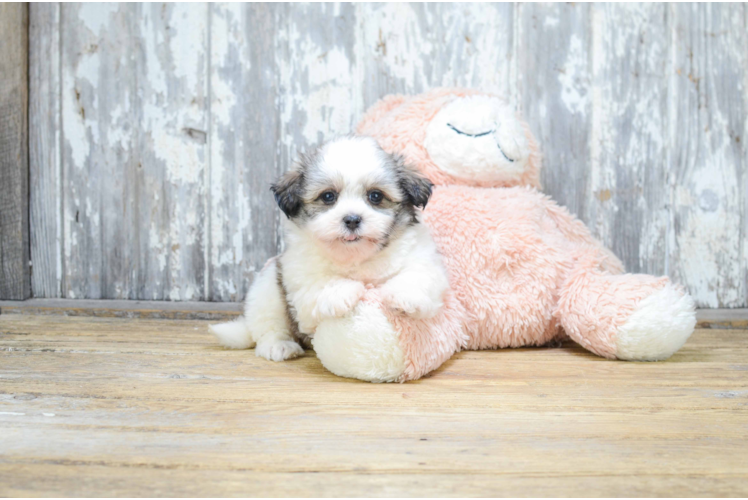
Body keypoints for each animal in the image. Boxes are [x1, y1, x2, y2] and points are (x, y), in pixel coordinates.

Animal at [210, 135, 448, 362]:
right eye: (328, 196)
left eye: (376, 196)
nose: (352, 219)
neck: (356, 257)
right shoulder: (298, 273)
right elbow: (320, 283)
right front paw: (342, 292)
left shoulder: (422, 256)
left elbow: (418, 274)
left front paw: (405, 296)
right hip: (267, 288)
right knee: (268, 325)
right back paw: (279, 346)